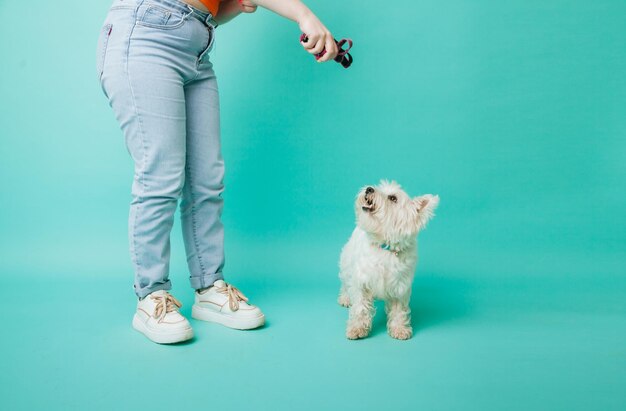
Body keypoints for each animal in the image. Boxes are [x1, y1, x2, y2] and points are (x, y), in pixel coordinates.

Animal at [336, 181, 438, 342]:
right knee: (346, 283)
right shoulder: (362, 281)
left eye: (393, 198)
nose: (369, 189)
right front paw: (357, 328)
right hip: (347, 263)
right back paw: (345, 298)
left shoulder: (399, 286)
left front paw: (399, 328)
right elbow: (360, 307)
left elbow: (399, 310)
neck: (385, 247)